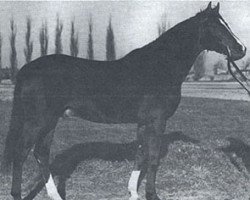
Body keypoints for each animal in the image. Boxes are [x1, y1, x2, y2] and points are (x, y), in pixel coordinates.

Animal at [0, 2, 246, 200]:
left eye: (225, 23)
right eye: (216, 26)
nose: (241, 49)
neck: (160, 66)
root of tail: (26, 69)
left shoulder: (144, 122)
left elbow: (141, 154)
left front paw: (133, 192)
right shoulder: (157, 121)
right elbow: (153, 157)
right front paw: (152, 194)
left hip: (50, 121)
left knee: (41, 154)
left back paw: (55, 196)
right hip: (37, 121)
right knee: (21, 153)